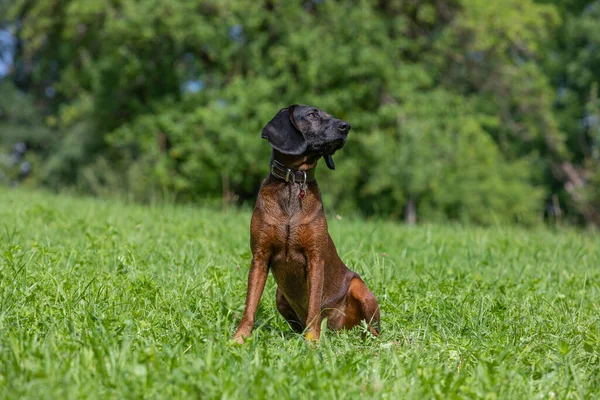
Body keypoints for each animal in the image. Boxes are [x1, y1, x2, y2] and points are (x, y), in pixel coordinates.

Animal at [234, 104, 380, 342]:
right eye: (312, 114)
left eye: (330, 115)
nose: (347, 126)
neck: (294, 182)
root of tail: (338, 330)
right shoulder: (260, 256)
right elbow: (250, 306)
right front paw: (239, 338)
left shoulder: (315, 258)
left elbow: (313, 309)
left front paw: (312, 342)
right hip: (280, 296)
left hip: (360, 288)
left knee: (372, 330)